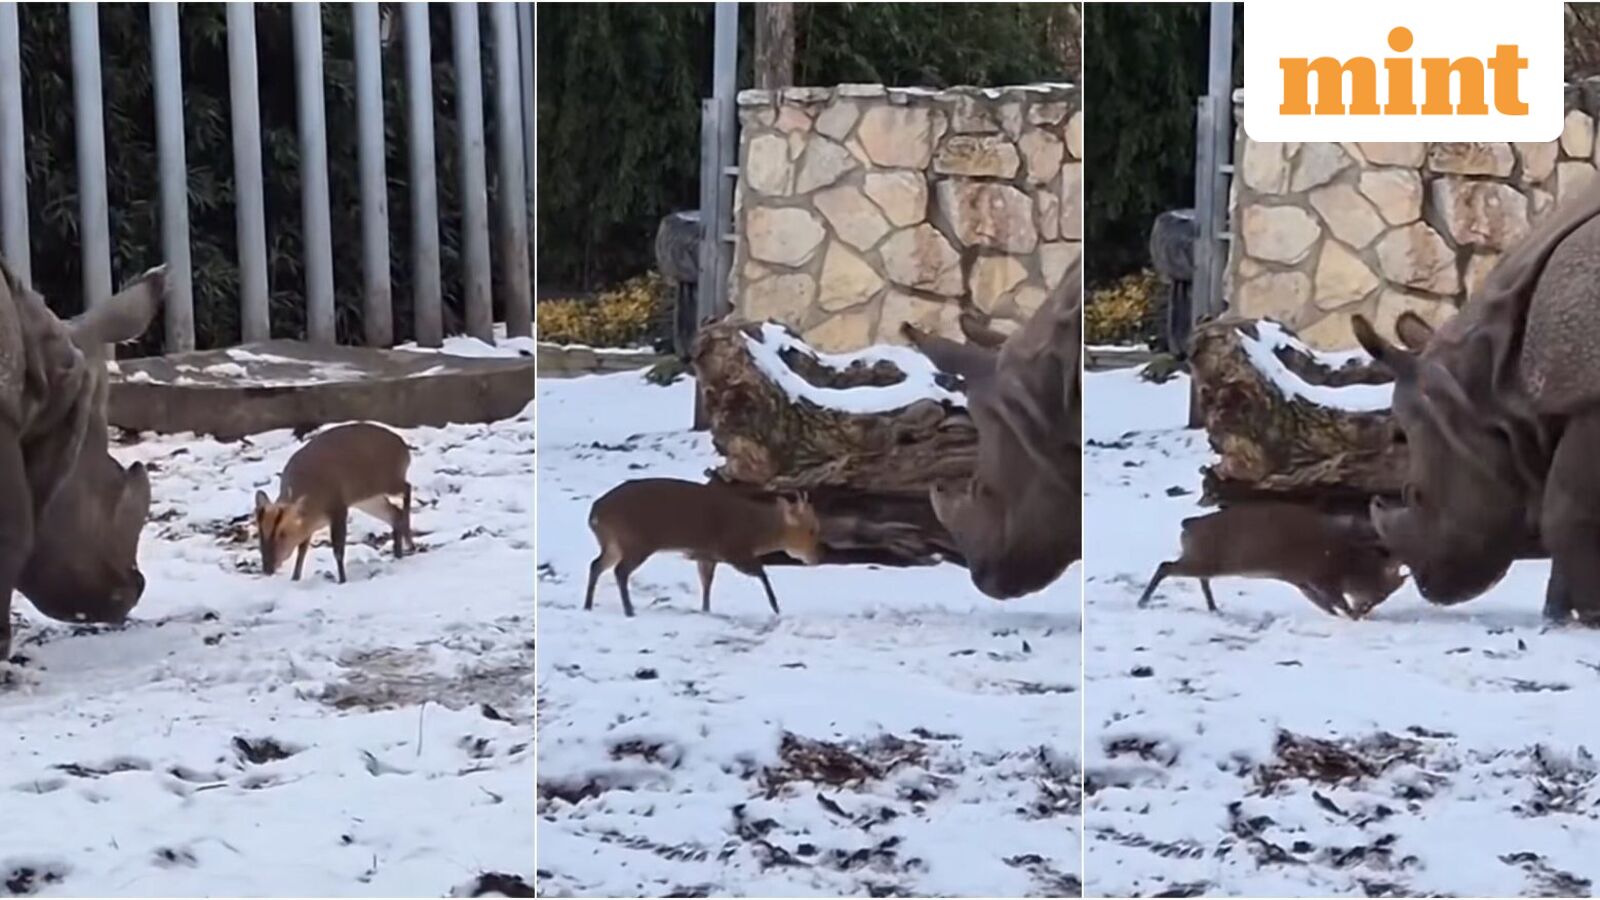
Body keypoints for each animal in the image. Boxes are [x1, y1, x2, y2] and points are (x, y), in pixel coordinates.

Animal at [583, 478, 823, 617]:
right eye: (812, 529)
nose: (816, 557)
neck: (756, 529)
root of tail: (595, 514)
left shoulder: (707, 555)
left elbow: (706, 581)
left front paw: (706, 609)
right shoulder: (733, 548)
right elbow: (761, 573)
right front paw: (776, 607)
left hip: (613, 543)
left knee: (596, 565)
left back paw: (588, 605)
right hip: (636, 542)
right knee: (619, 571)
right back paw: (629, 610)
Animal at [1137, 502, 1408, 618]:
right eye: (1382, 591)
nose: (1367, 609)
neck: (1349, 559)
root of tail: (1187, 525)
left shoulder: (1302, 581)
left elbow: (1324, 603)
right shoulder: (1320, 576)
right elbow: (1335, 601)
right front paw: (1351, 615)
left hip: (1206, 561)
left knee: (1198, 577)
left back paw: (1214, 608)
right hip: (1204, 560)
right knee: (1166, 566)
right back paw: (1142, 601)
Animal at [1352, 180, 1600, 623]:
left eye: (1416, 495)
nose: (1429, 586)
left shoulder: (1588, 403)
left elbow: (1566, 510)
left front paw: (1590, 615)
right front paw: (1557, 617)